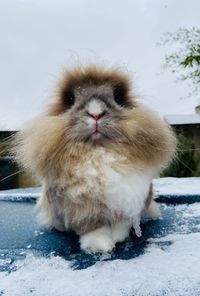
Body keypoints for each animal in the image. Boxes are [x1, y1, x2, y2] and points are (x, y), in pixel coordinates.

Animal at [14, 66, 176, 253]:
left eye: (118, 96)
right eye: (70, 99)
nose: (96, 113)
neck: (99, 151)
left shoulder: (130, 200)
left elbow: (122, 223)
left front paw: (118, 237)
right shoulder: (80, 209)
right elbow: (93, 227)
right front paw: (100, 246)